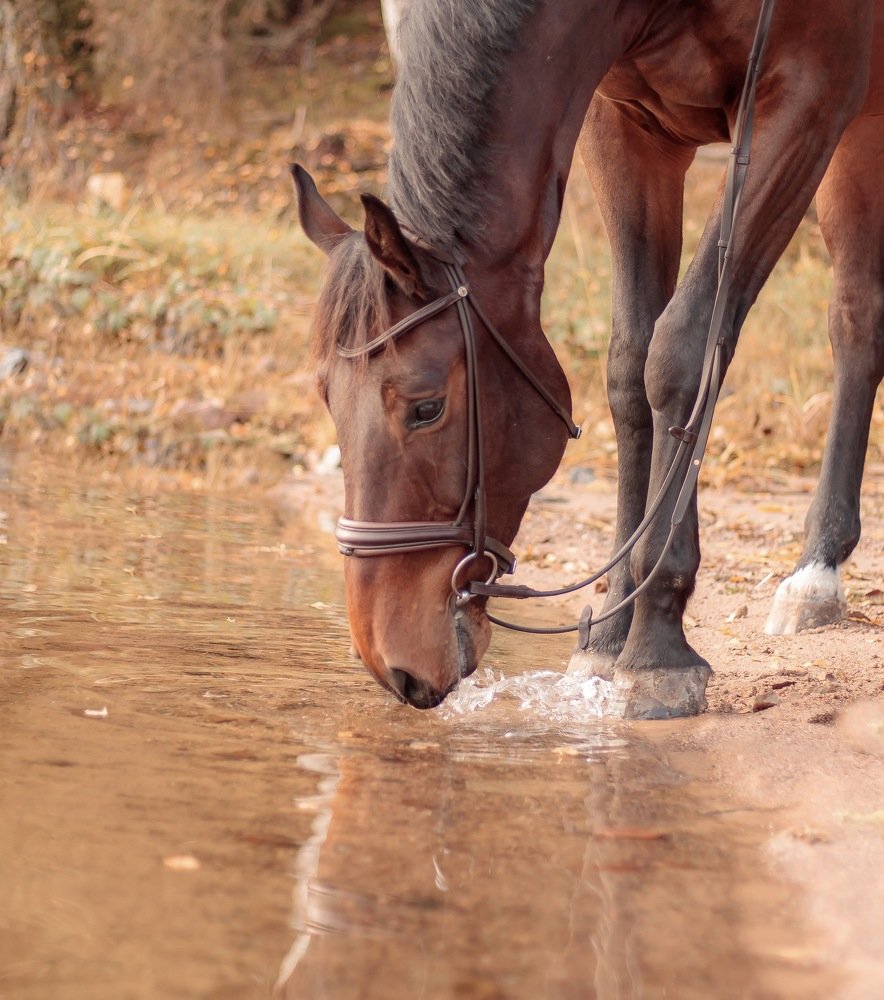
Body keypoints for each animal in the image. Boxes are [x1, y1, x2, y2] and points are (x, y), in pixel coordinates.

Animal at [294, 0, 884, 717]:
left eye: (426, 408)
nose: (390, 660)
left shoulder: (806, 100)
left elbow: (681, 352)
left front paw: (658, 645)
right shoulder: (626, 127)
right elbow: (631, 366)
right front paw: (609, 635)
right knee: (858, 320)